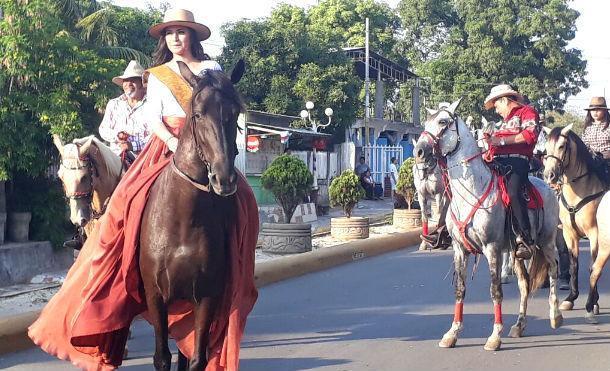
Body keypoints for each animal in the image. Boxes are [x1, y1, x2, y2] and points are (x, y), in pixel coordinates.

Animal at [141, 61, 246, 371]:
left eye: (235, 114)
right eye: (198, 114)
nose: (224, 179)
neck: (183, 220)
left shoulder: (207, 296)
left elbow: (197, 358)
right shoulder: (156, 296)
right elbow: (162, 357)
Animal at [414, 99, 560, 352]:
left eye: (443, 122)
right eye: (425, 123)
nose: (419, 152)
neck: (471, 191)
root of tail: (547, 187)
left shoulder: (492, 249)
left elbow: (495, 291)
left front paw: (494, 336)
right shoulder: (459, 249)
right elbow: (460, 289)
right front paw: (452, 333)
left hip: (547, 242)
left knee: (553, 270)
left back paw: (555, 315)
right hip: (518, 252)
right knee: (524, 284)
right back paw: (519, 325)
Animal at [540, 124, 604, 322]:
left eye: (562, 146)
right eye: (545, 148)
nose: (549, 175)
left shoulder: (594, 234)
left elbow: (593, 267)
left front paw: (593, 304)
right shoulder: (569, 234)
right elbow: (574, 265)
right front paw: (570, 298)